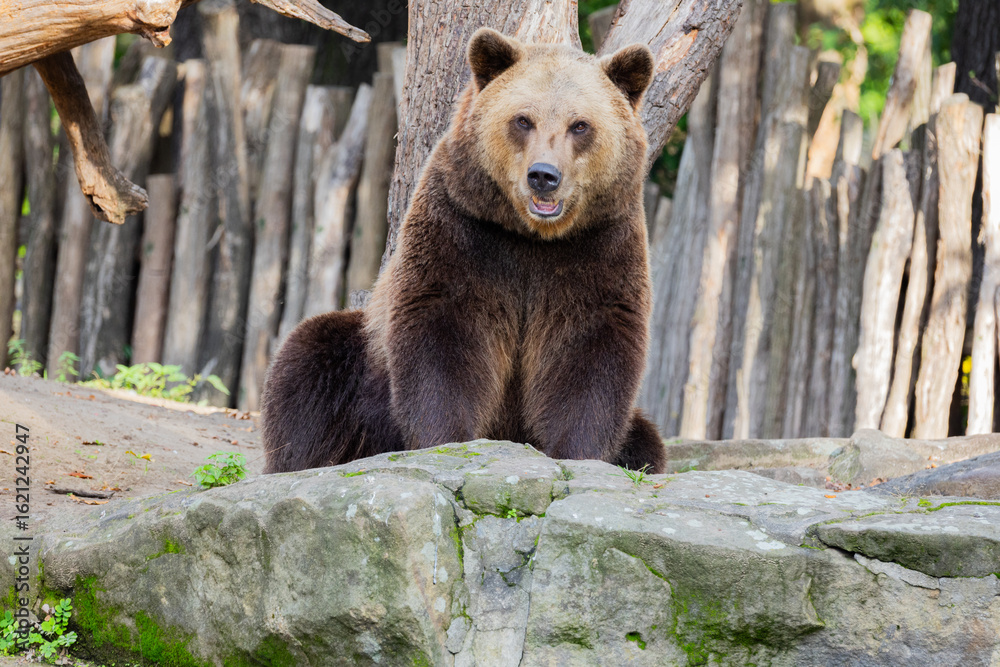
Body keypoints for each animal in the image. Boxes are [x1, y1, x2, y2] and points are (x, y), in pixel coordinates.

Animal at [261, 28, 666, 475]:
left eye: (580, 125)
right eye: (523, 119)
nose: (544, 176)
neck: (533, 236)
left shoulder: (599, 243)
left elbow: (591, 349)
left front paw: (576, 453)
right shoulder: (463, 227)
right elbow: (444, 334)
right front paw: (449, 442)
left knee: (648, 441)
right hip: (366, 362)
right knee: (307, 365)